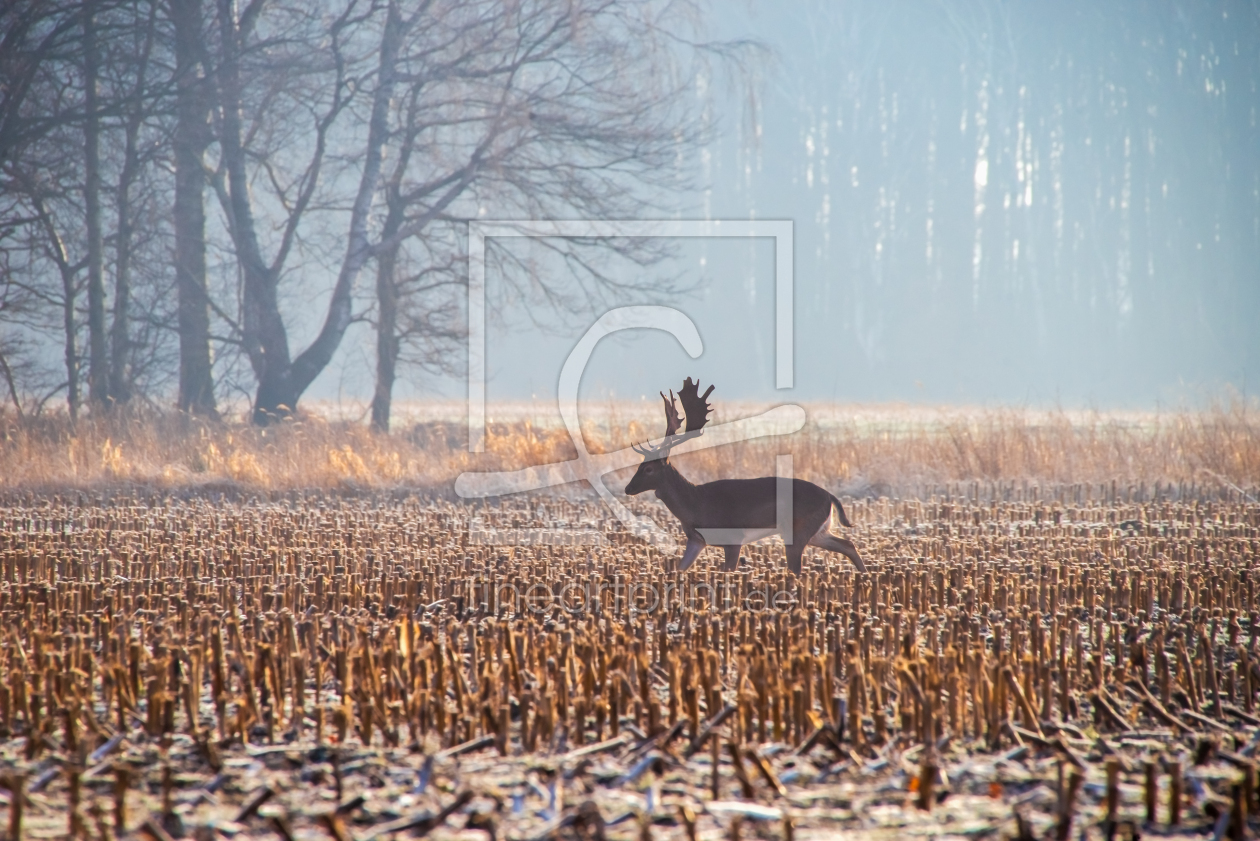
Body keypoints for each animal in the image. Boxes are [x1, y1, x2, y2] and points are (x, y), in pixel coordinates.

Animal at [624, 378, 866, 575]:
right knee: (848, 545)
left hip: (797, 531)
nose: (628, 488)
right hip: (818, 531)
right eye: (640, 464)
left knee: (798, 569)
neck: (696, 505)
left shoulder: (733, 539)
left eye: (649, 469)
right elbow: (679, 569)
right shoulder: (696, 540)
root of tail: (830, 497)